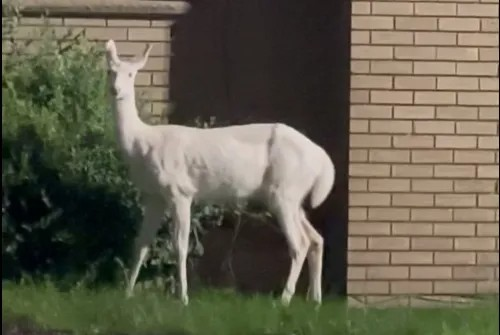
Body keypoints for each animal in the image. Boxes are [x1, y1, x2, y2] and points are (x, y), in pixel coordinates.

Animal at [103, 40, 334, 308]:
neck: (142, 144)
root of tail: (323, 161)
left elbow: (180, 245)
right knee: (316, 238)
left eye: (132, 74)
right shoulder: (154, 195)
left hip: (284, 192)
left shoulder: (180, 191)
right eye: (110, 71)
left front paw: (183, 298)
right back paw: (315, 300)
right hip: (293, 196)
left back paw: (283, 299)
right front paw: (127, 293)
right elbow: (141, 242)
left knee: (300, 243)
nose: (116, 90)